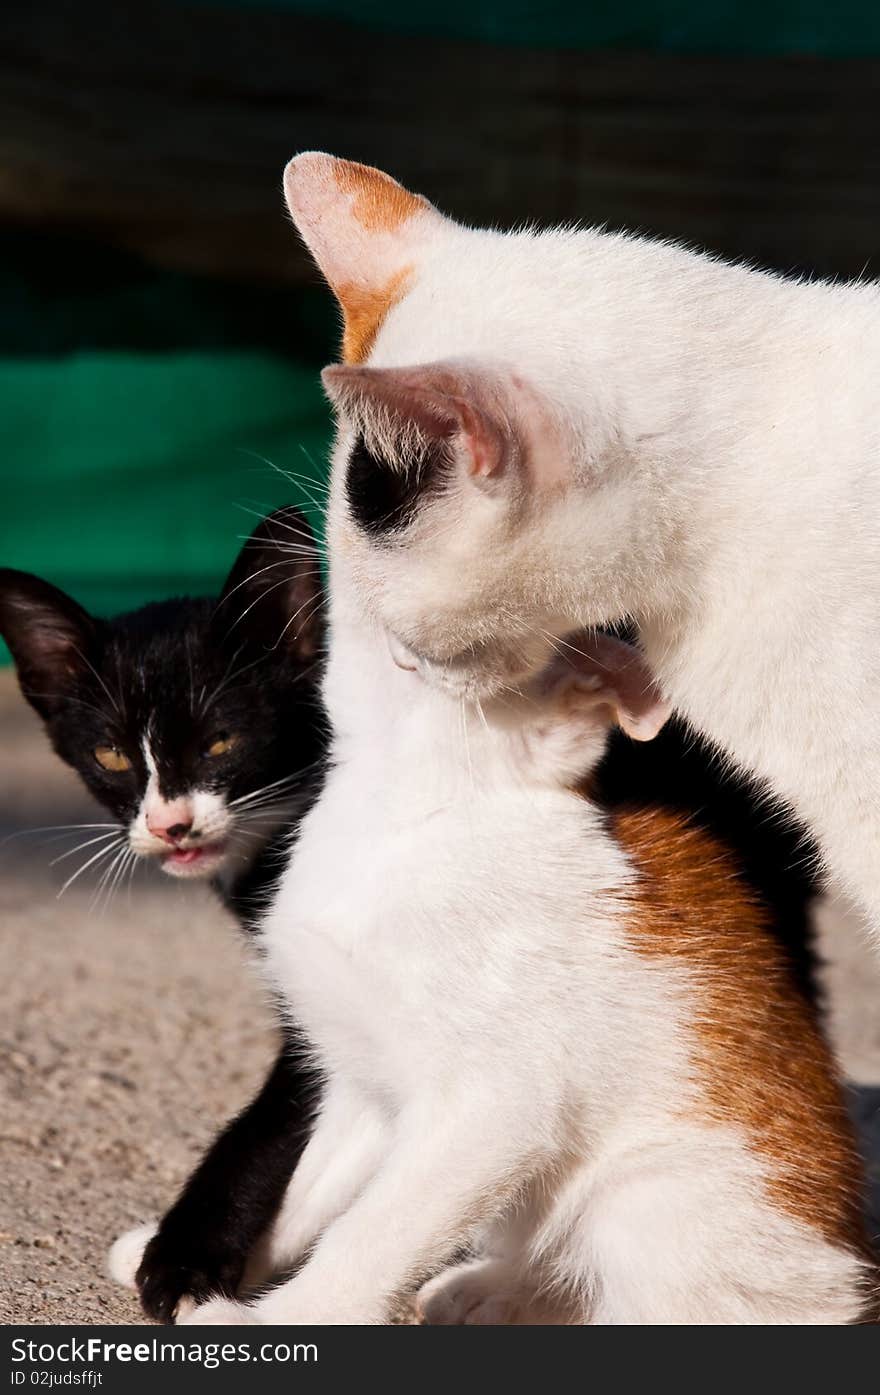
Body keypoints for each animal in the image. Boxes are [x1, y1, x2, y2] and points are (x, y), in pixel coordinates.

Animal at [177, 594, 875, 1322]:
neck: (398, 823)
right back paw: (482, 1290)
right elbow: (309, 1193)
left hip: (649, 1197)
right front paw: (205, 1259)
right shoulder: (367, 1086)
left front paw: (276, 1317)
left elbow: (375, 1232)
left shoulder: (492, 1110)